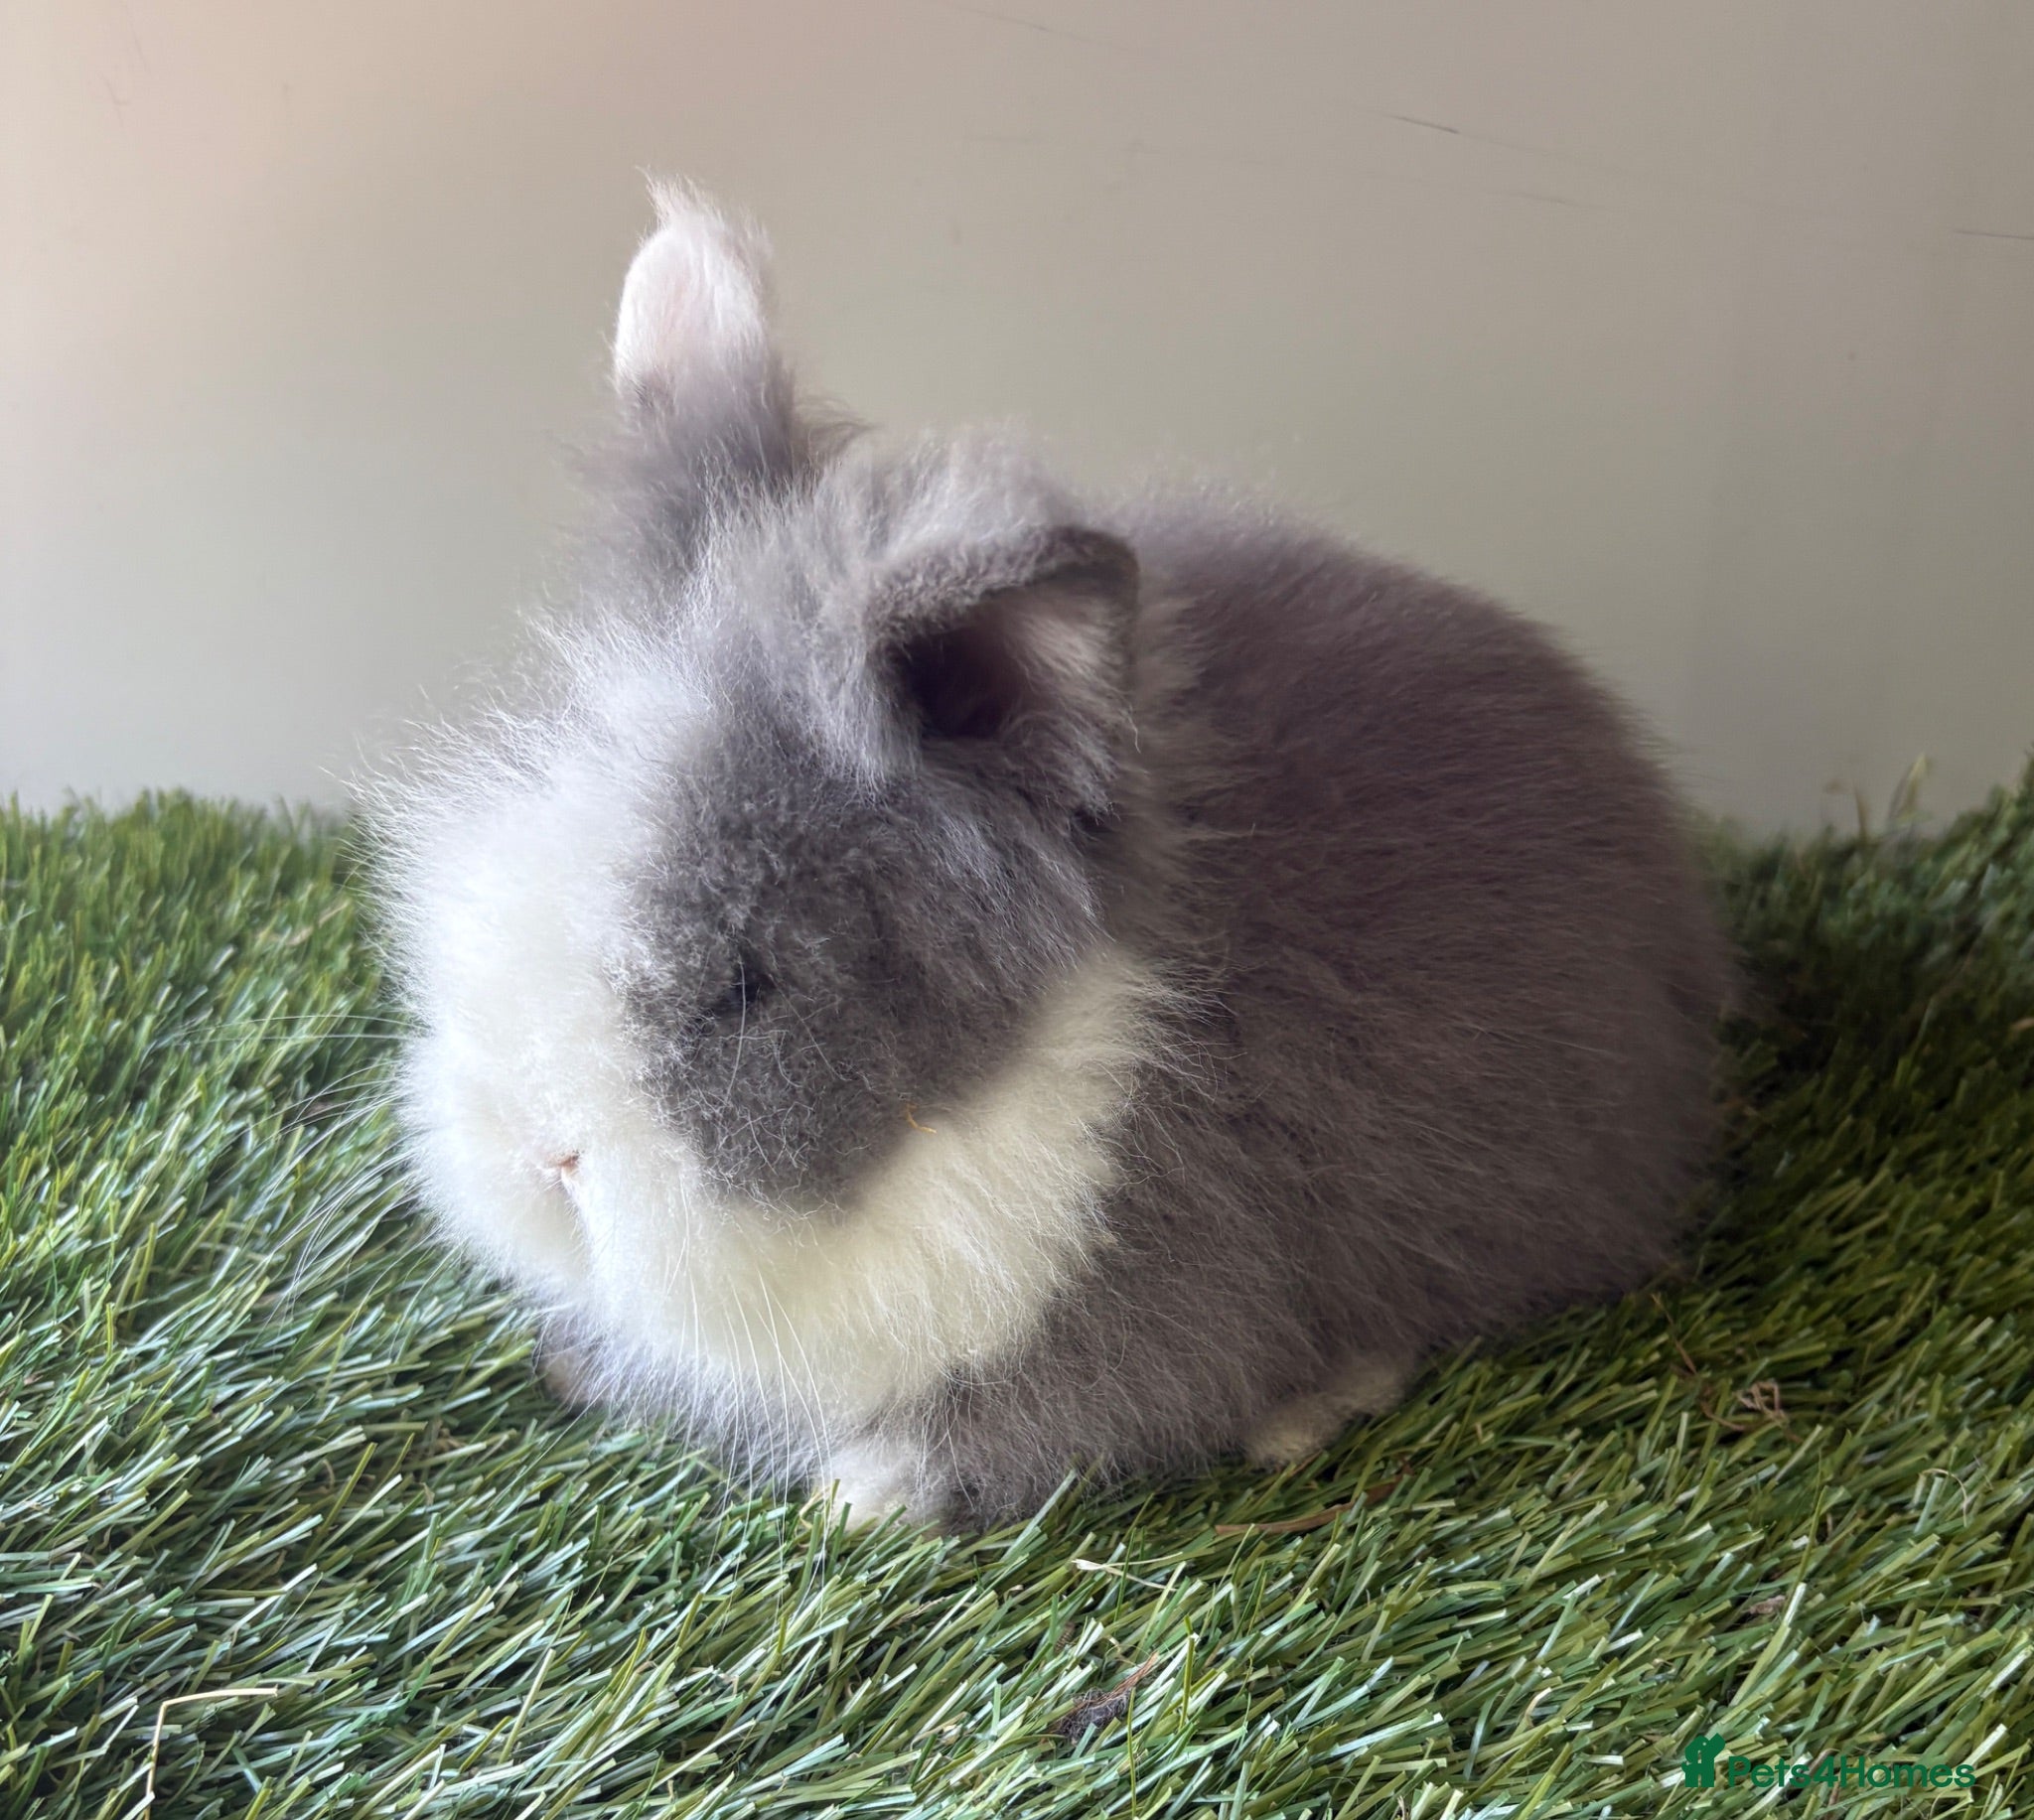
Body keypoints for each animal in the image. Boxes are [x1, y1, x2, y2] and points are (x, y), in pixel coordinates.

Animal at [373, 182, 1730, 1529]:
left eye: (750, 982)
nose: (539, 1157)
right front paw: (577, 1365)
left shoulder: (1162, 1277)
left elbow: (1050, 1412)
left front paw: (861, 1493)